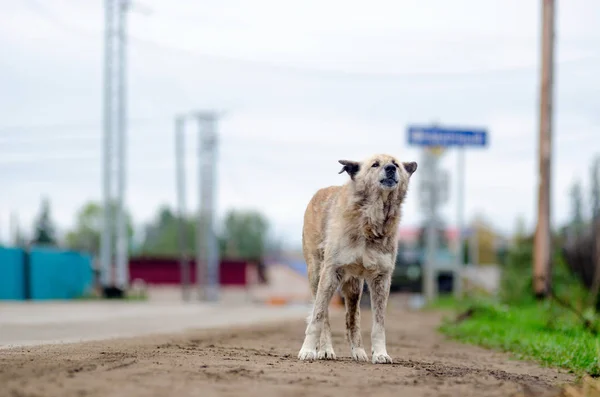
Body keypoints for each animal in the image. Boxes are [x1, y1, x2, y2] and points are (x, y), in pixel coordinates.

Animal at [296, 153, 418, 364]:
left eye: (395, 164)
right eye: (375, 164)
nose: (390, 169)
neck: (371, 219)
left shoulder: (381, 278)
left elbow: (378, 324)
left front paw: (380, 353)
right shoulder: (330, 271)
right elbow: (317, 317)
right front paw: (308, 350)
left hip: (354, 287)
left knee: (352, 318)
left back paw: (358, 352)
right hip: (317, 275)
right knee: (324, 316)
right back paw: (325, 350)